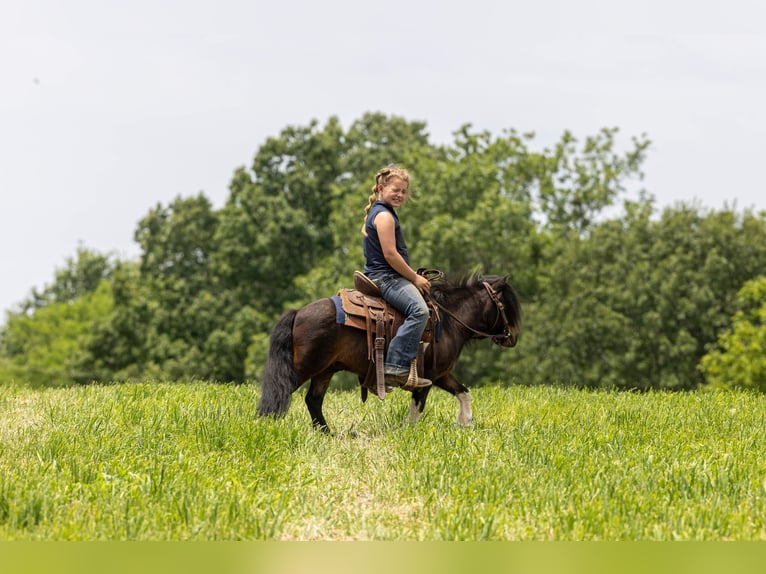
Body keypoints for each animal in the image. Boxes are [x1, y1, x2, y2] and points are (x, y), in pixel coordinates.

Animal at [256, 274, 522, 432]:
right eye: (507, 305)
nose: (513, 337)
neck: (448, 322)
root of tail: (299, 312)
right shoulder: (427, 377)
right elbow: (417, 407)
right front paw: (408, 432)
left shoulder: (441, 375)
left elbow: (464, 392)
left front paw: (466, 423)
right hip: (305, 367)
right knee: (280, 391)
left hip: (326, 370)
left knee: (313, 400)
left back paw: (327, 434)